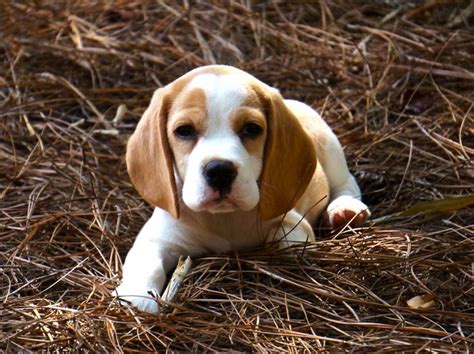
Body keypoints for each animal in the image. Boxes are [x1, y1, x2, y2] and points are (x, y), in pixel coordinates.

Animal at [115, 65, 370, 312]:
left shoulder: (295, 224)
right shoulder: (158, 237)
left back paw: (345, 210)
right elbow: (147, 263)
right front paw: (138, 297)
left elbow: (285, 241)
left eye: (251, 129)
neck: (225, 219)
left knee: (346, 183)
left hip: (328, 145)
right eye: (184, 131)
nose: (219, 170)